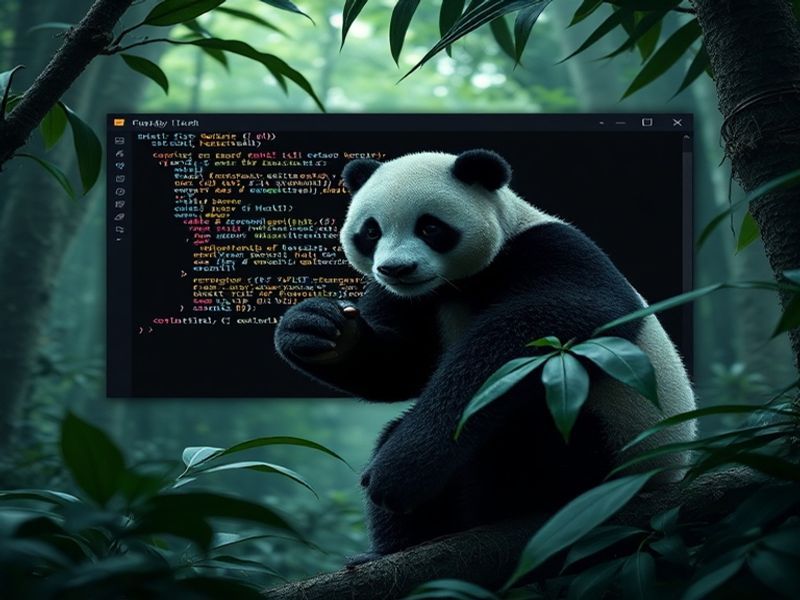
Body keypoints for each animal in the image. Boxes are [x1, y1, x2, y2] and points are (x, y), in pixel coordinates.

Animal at [274, 149, 695, 560]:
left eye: (429, 228)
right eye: (371, 231)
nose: (396, 268)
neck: (463, 282)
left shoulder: (552, 250)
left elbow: (551, 326)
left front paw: (402, 468)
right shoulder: (412, 300)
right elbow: (401, 367)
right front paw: (316, 328)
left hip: (607, 450)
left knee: (524, 439)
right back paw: (396, 545)